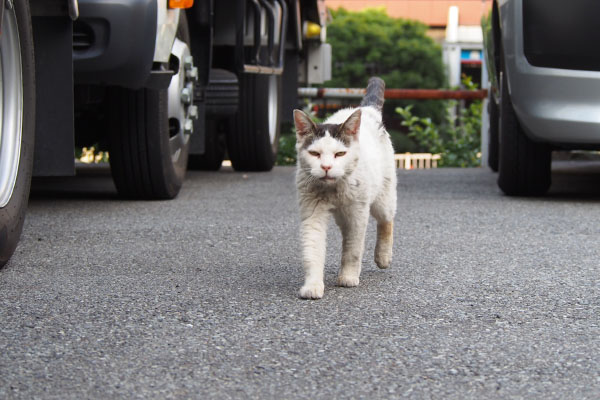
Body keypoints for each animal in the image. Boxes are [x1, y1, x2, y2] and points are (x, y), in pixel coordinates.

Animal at [292, 76, 396, 298]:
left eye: (340, 154)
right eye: (315, 154)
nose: (326, 167)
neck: (333, 189)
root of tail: (366, 109)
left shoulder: (357, 214)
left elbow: (353, 250)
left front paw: (348, 277)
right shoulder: (312, 213)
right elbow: (312, 251)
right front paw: (312, 286)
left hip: (382, 199)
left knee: (386, 220)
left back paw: (383, 257)